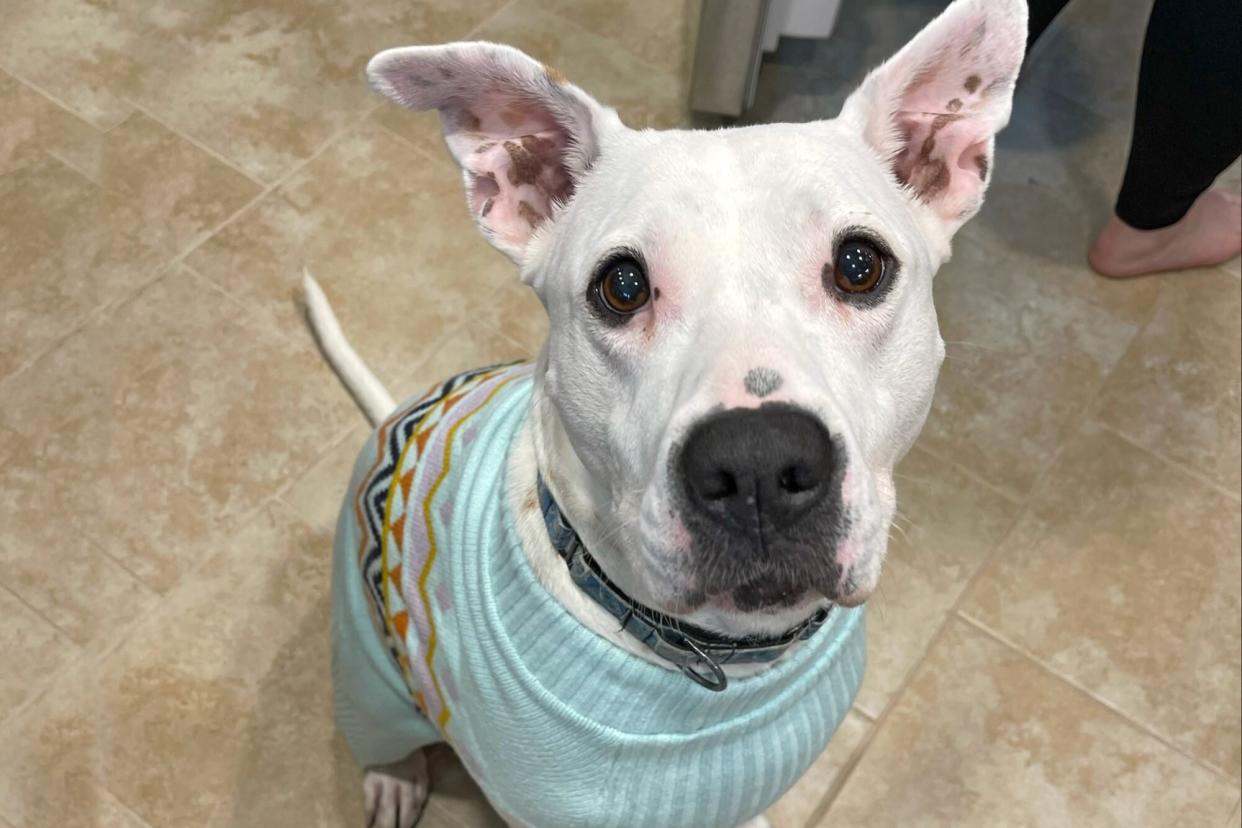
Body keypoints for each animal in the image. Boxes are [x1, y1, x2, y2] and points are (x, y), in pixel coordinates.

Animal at [310, 3, 1028, 824]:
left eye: (858, 266)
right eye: (622, 286)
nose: (758, 463)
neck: (714, 655)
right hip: (368, 670)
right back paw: (394, 776)